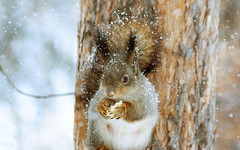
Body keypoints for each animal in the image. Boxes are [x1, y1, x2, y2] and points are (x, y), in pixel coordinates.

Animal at [86, 20, 159, 150]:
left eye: (125, 79)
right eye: (103, 77)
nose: (110, 93)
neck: (122, 97)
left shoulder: (146, 101)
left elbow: (138, 112)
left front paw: (122, 108)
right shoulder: (98, 96)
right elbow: (95, 105)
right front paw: (102, 104)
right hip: (97, 130)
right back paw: (102, 147)